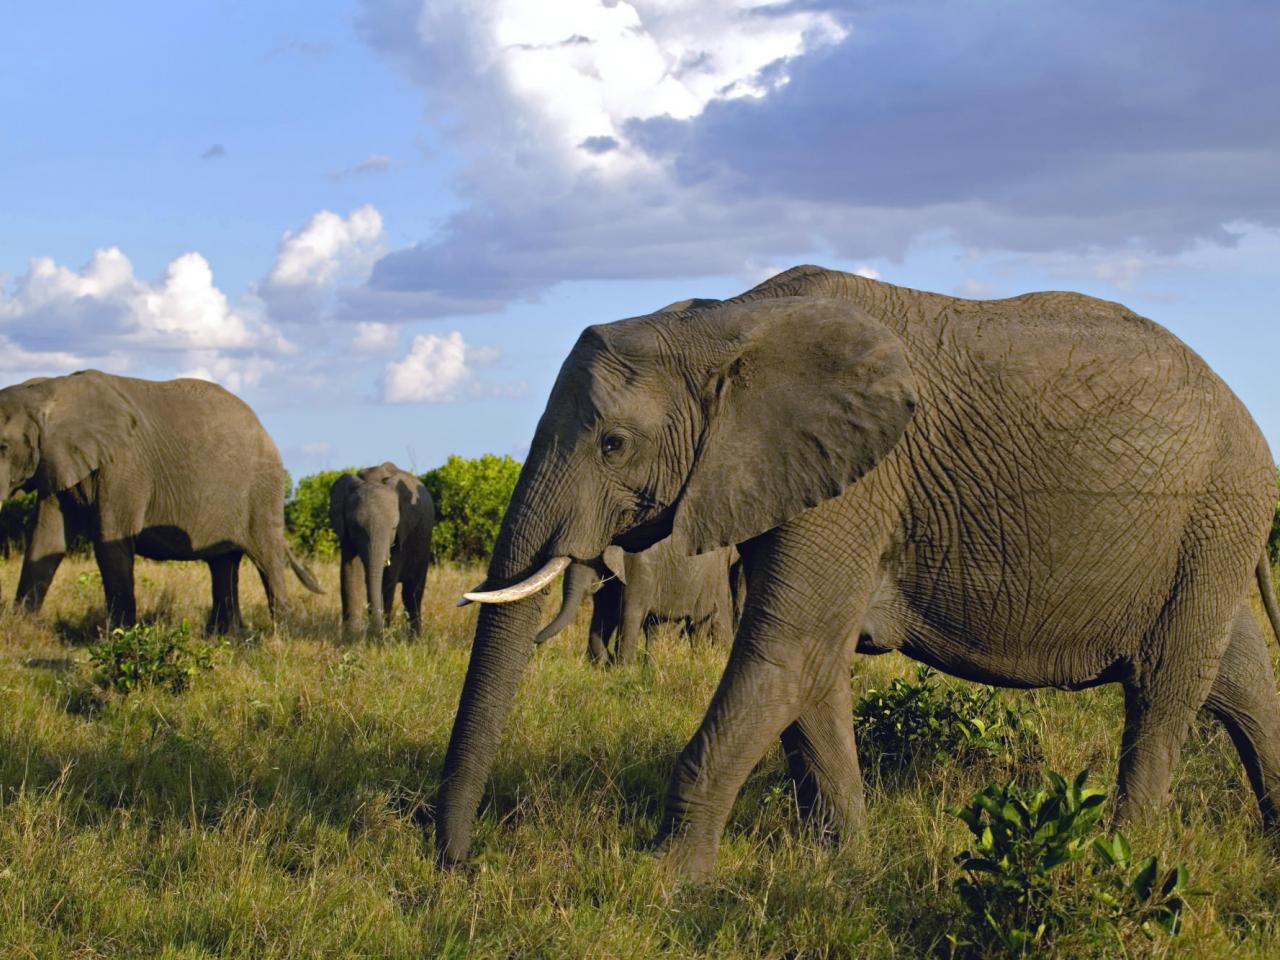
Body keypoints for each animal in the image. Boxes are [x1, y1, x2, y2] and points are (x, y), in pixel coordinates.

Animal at [0, 368, 322, 632]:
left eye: (3, 447)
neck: (47, 391)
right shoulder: (57, 462)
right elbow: (46, 539)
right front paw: (20, 628)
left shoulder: (124, 467)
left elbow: (111, 541)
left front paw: (118, 635)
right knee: (222, 563)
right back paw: (224, 636)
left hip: (262, 489)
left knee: (267, 557)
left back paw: (280, 636)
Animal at [330, 465, 435, 640]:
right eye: (355, 526)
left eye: (393, 527)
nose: (375, 632)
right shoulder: (346, 534)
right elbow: (350, 571)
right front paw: (351, 636)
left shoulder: (402, 534)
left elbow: (388, 578)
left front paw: (381, 636)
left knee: (411, 592)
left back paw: (414, 639)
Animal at [535, 542, 742, 670]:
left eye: (592, 559)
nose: (536, 642)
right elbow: (605, 615)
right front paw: (603, 664)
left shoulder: (640, 567)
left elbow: (630, 614)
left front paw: (621, 669)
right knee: (659, 627)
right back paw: (651, 667)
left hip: (711, 577)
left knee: (700, 623)